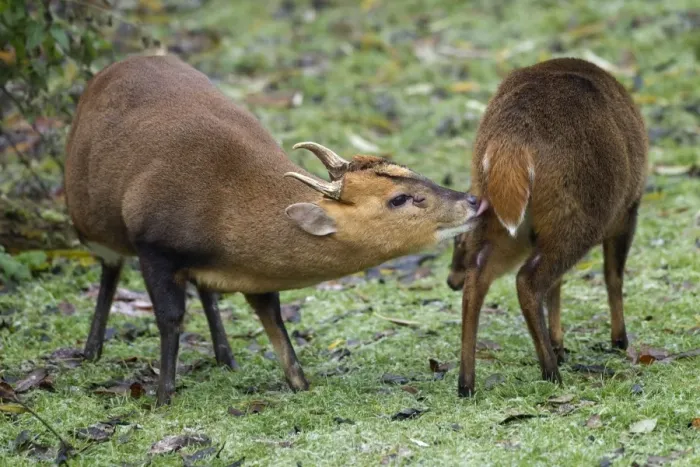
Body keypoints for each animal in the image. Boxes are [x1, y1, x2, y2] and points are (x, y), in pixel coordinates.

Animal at [64, 54, 484, 405]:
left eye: (411, 171)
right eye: (399, 198)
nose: (474, 201)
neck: (225, 207)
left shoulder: (256, 272)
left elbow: (275, 321)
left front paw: (300, 384)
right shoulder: (154, 247)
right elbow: (169, 319)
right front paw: (163, 396)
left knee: (205, 290)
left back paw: (225, 356)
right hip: (90, 221)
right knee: (111, 268)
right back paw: (92, 349)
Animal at [446, 57, 648, 397]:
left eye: (456, 241)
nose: (450, 279)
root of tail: (509, 146)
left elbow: (559, 285)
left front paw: (559, 342)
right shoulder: (628, 210)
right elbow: (613, 276)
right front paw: (619, 340)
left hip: (500, 221)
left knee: (480, 278)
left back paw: (466, 383)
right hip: (577, 218)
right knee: (528, 279)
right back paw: (551, 371)